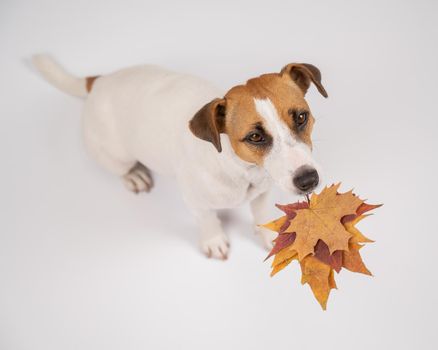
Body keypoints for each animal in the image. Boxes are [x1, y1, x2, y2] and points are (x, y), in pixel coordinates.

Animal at [33, 55, 326, 260]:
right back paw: (134, 176)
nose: (308, 180)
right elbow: (207, 220)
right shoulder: (195, 200)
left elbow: (260, 213)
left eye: (301, 117)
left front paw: (268, 235)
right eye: (255, 137)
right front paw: (214, 240)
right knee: (120, 167)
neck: (238, 167)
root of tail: (101, 81)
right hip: (115, 154)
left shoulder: (262, 192)